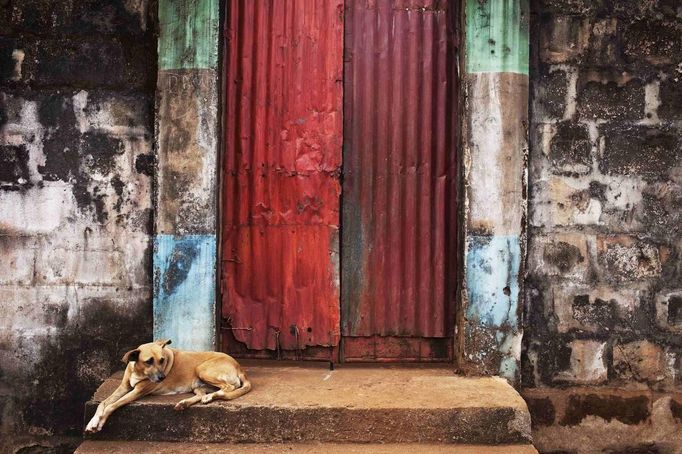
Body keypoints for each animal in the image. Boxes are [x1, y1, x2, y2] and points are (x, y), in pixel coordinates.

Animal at [85, 340, 250, 432]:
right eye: (149, 361)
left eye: (162, 360)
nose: (163, 377)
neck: (138, 370)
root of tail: (239, 367)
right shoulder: (124, 387)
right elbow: (103, 403)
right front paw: (93, 422)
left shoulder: (137, 391)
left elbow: (112, 405)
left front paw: (100, 422)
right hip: (198, 384)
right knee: (201, 395)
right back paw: (185, 403)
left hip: (202, 370)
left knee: (228, 388)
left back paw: (211, 396)